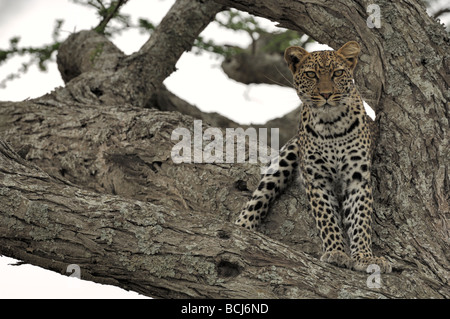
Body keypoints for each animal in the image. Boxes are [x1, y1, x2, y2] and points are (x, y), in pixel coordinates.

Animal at [237, 41, 392, 274]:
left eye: (338, 73)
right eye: (311, 74)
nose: (326, 94)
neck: (331, 124)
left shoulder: (357, 177)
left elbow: (361, 218)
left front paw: (365, 257)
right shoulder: (316, 178)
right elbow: (326, 218)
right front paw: (336, 252)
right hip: (289, 154)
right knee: (257, 198)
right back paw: (241, 228)